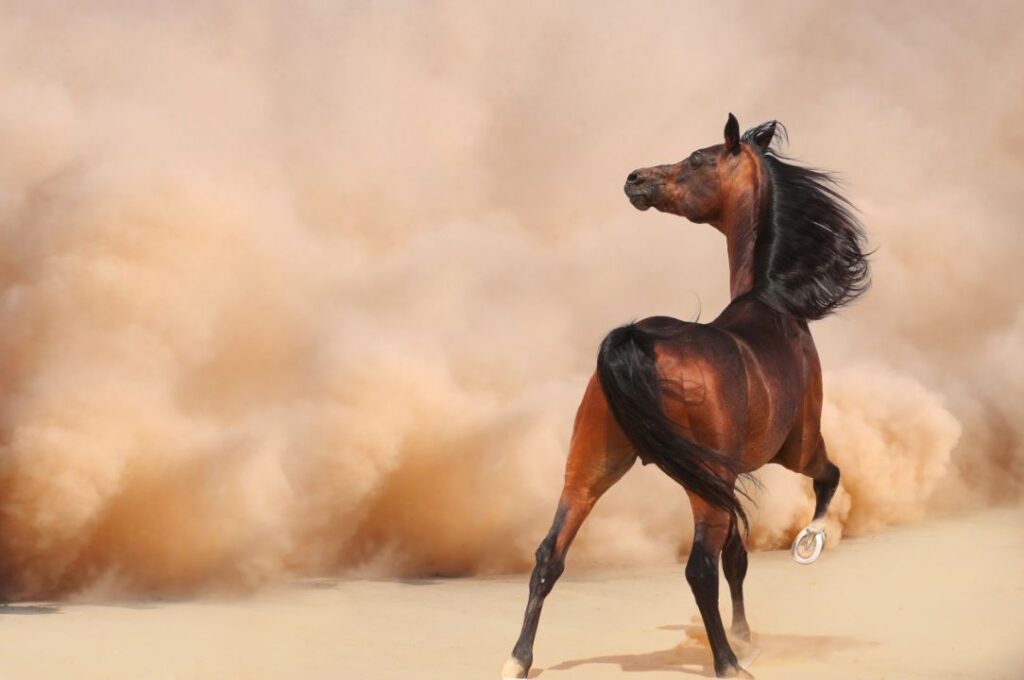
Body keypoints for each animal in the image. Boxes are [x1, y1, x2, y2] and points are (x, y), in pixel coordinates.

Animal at [502, 114, 869, 679]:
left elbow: (738, 560)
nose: (635, 178)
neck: (773, 306)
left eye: (697, 159)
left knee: (549, 556)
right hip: (708, 484)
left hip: (590, 471)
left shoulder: (731, 478)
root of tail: (634, 337)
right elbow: (827, 484)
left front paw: (746, 633)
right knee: (699, 569)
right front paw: (807, 547)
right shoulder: (797, 451)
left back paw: (518, 658)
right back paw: (728, 663)